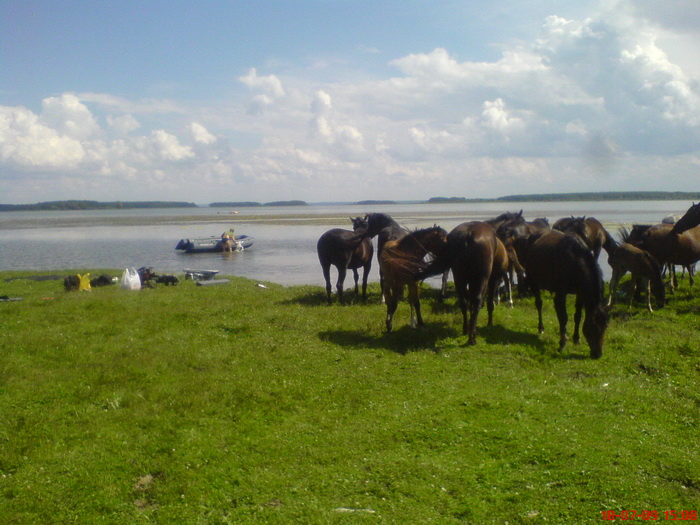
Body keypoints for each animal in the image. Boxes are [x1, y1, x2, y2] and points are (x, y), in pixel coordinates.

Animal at [519, 229, 608, 359]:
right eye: (593, 327)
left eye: (606, 326)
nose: (598, 354)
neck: (576, 261)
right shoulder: (560, 294)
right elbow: (563, 318)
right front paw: (562, 342)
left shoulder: (580, 293)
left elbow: (578, 316)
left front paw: (576, 338)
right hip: (533, 280)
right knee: (539, 303)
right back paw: (541, 327)